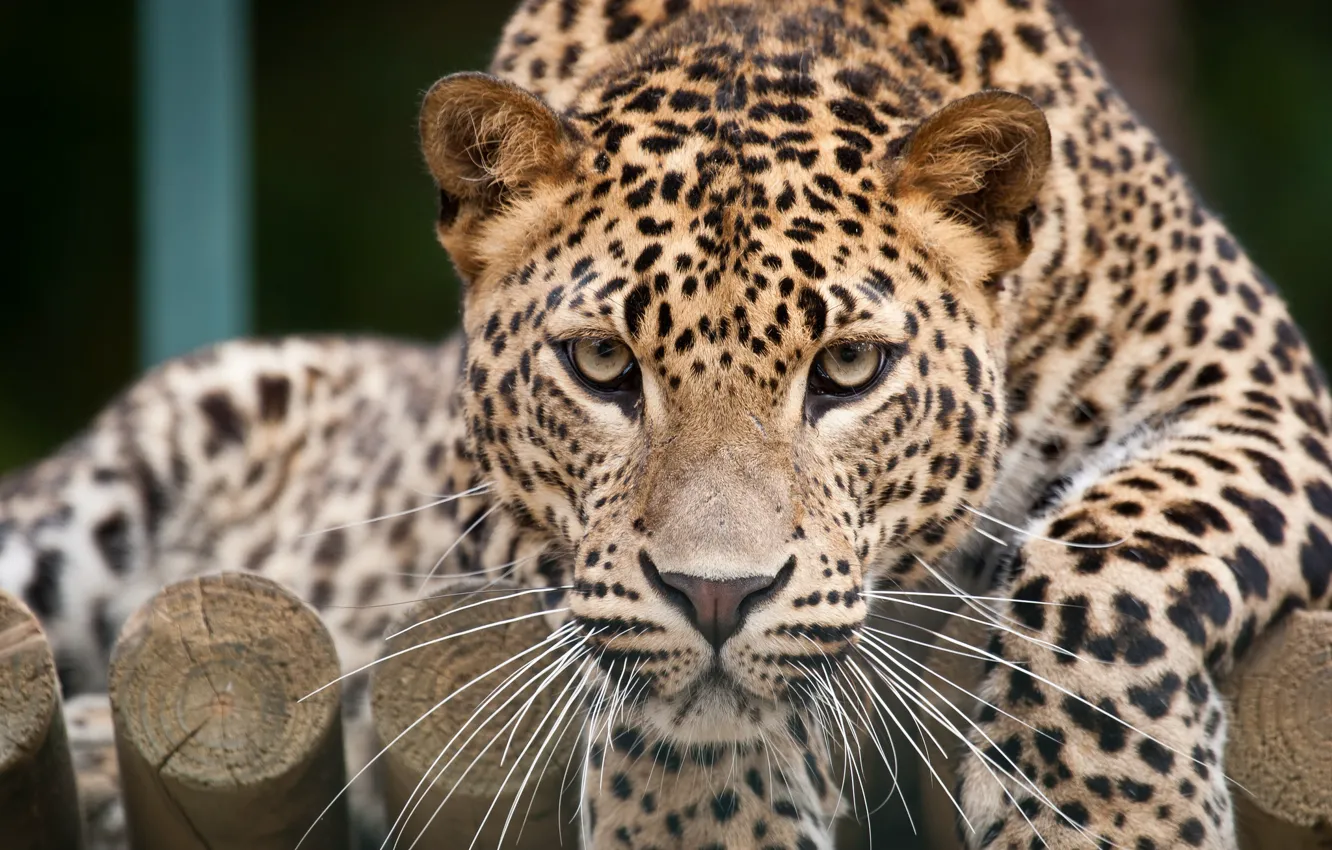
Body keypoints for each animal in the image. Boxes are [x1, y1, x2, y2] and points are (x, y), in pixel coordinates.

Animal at [3, 0, 1330, 848]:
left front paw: (1111, 822)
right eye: (602, 365)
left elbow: (1115, 565)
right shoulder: (498, 521)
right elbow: (661, 683)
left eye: (849, 368)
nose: (717, 595)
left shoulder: (1259, 390)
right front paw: (704, 816)